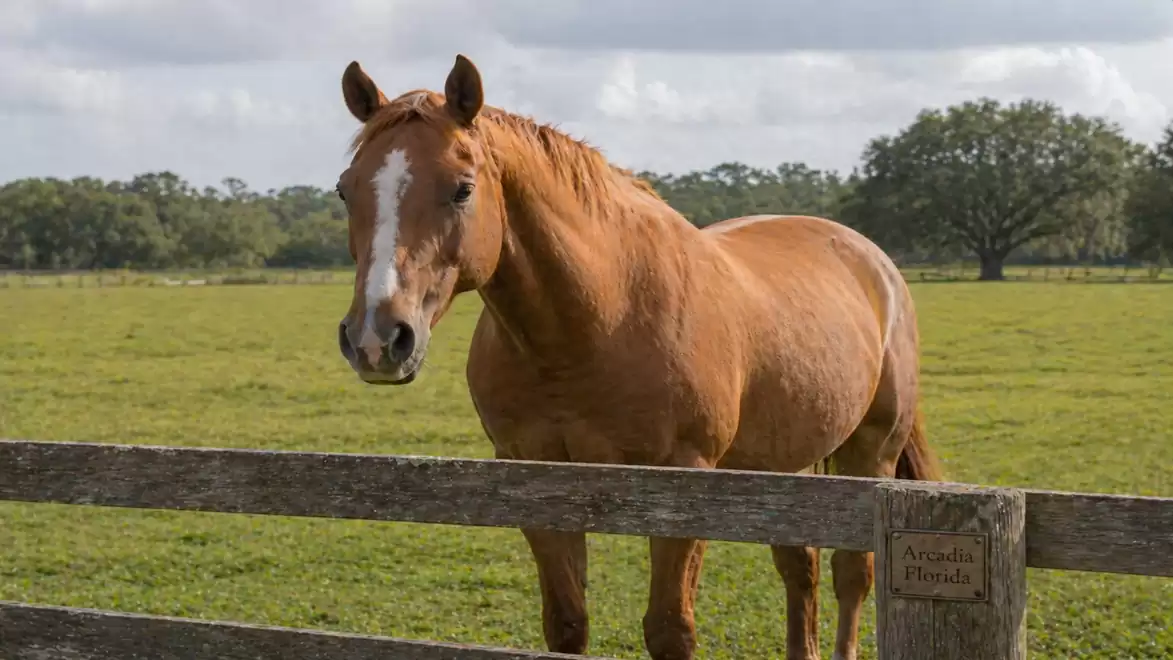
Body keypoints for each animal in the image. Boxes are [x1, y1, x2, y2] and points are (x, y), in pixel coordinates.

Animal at [332, 54, 943, 660]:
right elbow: (567, 623)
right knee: (801, 567)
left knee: (852, 575)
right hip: (783, 461)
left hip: (872, 450)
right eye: (345, 190)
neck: (596, 324)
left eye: (462, 189)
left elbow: (670, 629)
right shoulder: (537, 479)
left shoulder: (686, 479)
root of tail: (874, 261)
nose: (377, 338)